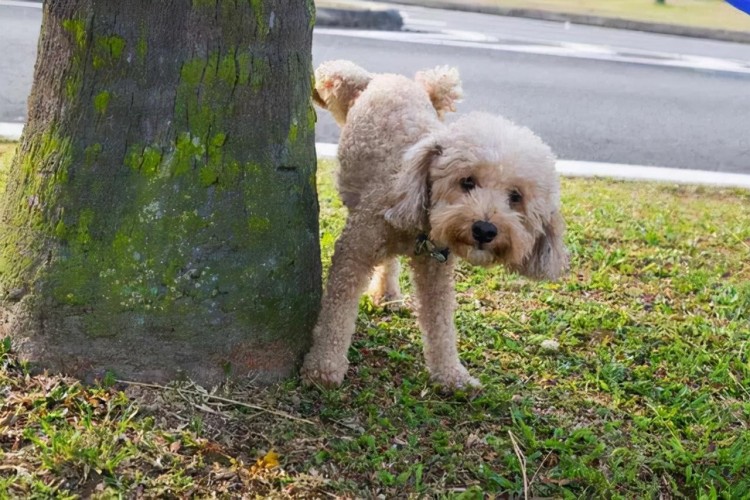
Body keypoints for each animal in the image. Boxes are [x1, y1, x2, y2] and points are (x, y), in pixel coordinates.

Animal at [302, 61, 568, 390]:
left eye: (515, 197)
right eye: (467, 181)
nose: (485, 230)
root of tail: (392, 79)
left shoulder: (436, 268)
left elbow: (440, 323)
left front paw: (451, 375)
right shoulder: (355, 250)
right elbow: (337, 311)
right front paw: (323, 366)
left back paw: (388, 294)